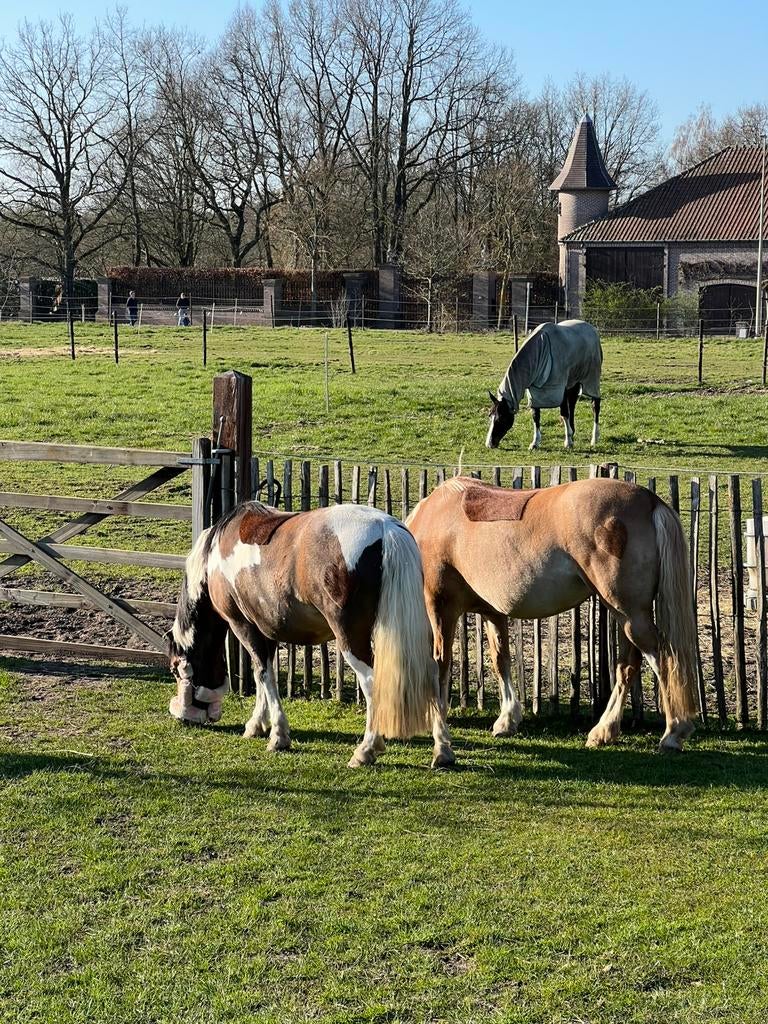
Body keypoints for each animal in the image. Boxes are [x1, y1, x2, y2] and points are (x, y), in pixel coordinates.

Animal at [167, 500, 455, 769]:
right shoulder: (267, 628)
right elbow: (263, 675)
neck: (216, 554)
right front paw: (257, 724)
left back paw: (366, 750)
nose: (182, 716)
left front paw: (278, 736)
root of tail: (387, 529)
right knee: (432, 674)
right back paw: (442, 750)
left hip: (350, 637)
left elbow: (264, 675)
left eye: (175, 669)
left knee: (372, 682)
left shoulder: (243, 625)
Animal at [407, 476, 698, 752]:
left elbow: (441, 664)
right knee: (628, 665)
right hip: (625, 616)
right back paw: (604, 731)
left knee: (663, 658)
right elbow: (500, 660)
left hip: (630, 614)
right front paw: (507, 719)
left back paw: (673, 733)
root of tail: (650, 500)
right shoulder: (492, 612)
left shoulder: (440, 608)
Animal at [486, 319, 602, 451]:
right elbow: (536, 416)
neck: (540, 351)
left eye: (501, 418)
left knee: (595, 406)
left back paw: (594, 438)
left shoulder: (560, 389)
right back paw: (573, 432)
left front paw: (568, 442)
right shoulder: (534, 392)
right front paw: (535, 443)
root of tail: (592, 328)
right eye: (490, 415)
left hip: (591, 379)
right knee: (572, 404)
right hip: (573, 382)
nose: (489, 444)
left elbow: (564, 413)